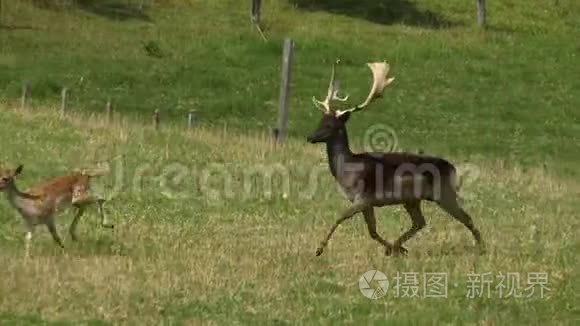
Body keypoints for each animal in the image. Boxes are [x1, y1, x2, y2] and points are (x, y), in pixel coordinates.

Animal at [308, 59, 484, 256]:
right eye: (320, 121)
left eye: (330, 125)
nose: (310, 137)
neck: (347, 170)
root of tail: (452, 168)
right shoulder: (367, 202)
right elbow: (372, 231)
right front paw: (392, 249)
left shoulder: (363, 197)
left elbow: (340, 217)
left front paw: (319, 248)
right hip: (412, 200)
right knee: (420, 222)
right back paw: (398, 246)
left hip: (443, 193)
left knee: (465, 217)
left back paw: (482, 248)